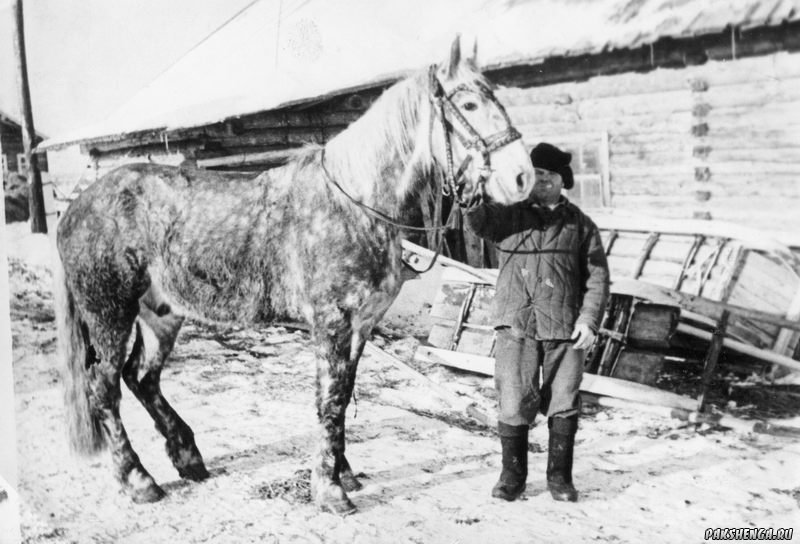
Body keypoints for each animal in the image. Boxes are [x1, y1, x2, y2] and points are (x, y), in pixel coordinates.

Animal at [53, 38, 536, 516]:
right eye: (469, 104)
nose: (522, 177)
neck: (354, 205)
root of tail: (75, 208)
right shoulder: (331, 321)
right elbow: (330, 398)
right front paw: (330, 490)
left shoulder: (361, 325)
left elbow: (342, 393)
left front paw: (342, 473)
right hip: (110, 314)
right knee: (104, 387)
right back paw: (139, 480)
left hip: (162, 311)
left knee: (141, 377)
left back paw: (188, 457)